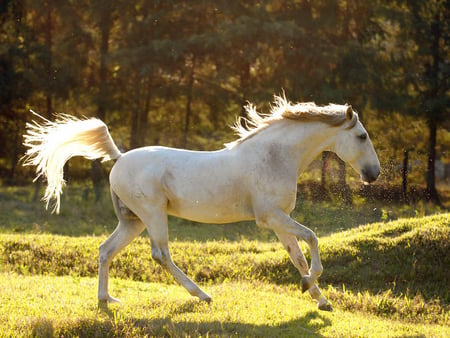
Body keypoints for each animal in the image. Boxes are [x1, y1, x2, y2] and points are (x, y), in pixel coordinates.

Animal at [22, 95, 380, 312]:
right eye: (362, 136)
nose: (374, 174)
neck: (275, 156)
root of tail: (119, 157)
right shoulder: (270, 217)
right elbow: (313, 239)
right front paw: (311, 287)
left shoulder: (280, 221)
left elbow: (298, 257)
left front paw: (320, 299)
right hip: (153, 215)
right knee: (160, 253)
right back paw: (202, 294)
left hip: (132, 221)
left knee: (105, 250)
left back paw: (106, 299)